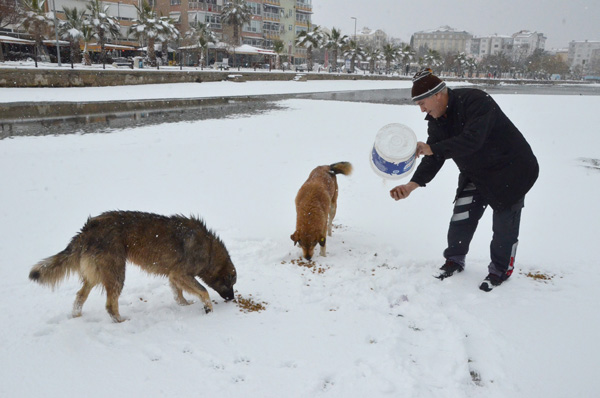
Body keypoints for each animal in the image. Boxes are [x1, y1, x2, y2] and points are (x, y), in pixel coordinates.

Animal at [29, 210, 237, 322]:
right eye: (230, 283)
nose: (232, 298)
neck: (209, 249)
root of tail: (88, 228)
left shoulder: (174, 275)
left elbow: (179, 294)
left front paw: (185, 304)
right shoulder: (181, 274)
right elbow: (204, 291)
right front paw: (208, 308)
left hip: (97, 274)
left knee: (80, 296)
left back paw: (77, 316)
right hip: (117, 273)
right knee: (109, 305)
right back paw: (120, 321)